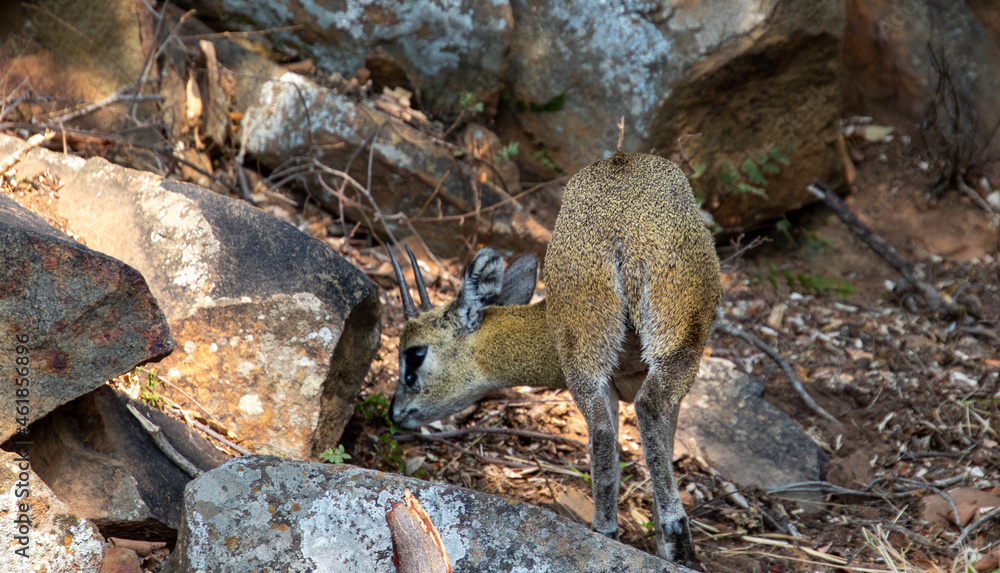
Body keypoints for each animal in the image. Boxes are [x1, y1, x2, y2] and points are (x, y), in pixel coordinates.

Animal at [389, 152, 722, 565]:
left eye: (415, 354)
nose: (395, 412)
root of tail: (623, 237)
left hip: (596, 357)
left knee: (607, 433)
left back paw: (619, 534)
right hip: (670, 350)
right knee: (639, 413)